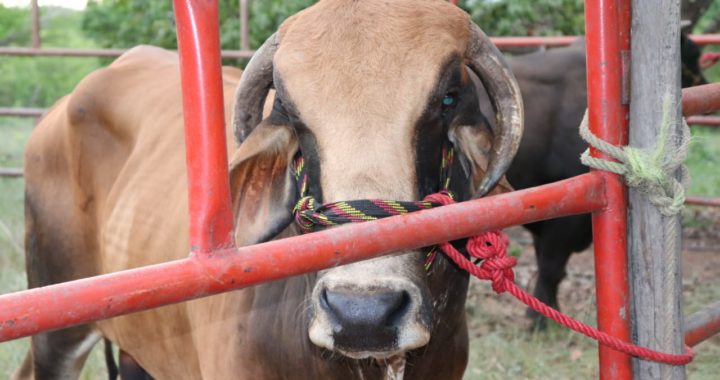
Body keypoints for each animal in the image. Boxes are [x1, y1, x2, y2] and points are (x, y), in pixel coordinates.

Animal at [480, 34, 704, 324]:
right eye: (693, 54)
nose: (701, 79)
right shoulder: (565, 217)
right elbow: (551, 266)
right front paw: (537, 318)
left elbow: (547, 263)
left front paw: (549, 309)